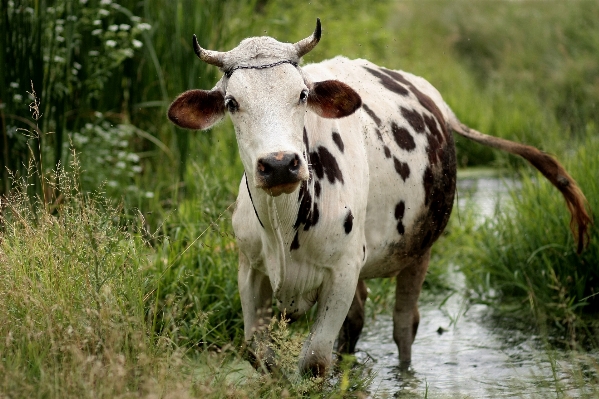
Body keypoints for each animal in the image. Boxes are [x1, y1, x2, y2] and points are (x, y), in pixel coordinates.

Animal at [169, 20, 592, 378]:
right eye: (232, 103)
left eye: (302, 94)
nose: (279, 165)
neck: (283, 226)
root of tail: (433, 96)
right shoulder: (250, 271)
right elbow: (262, 357)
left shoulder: (342, 271)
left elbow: (315, 361)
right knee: (356, 324)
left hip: (419, 249)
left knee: (404, 325)